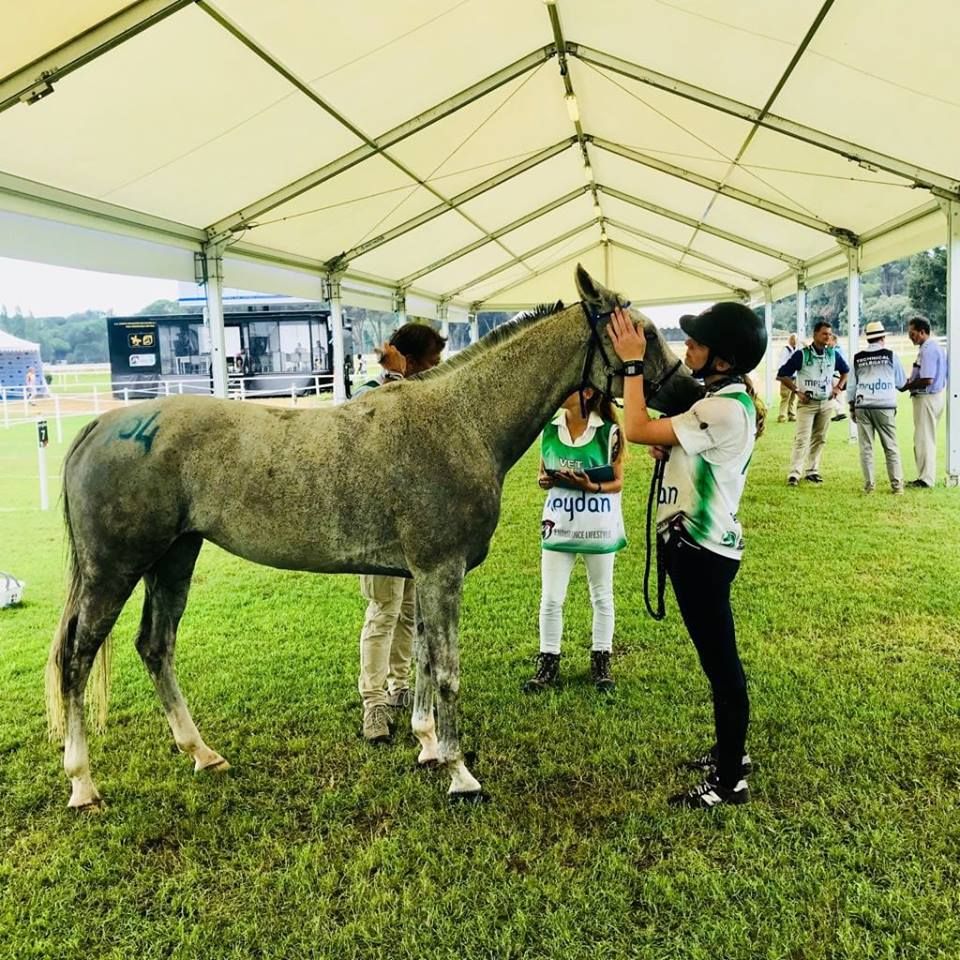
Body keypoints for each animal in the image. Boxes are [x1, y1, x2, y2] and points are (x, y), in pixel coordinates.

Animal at [45, 264, 700, 808]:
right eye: (640, 333)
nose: (689, 391)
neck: (462, 419)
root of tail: (101, 425)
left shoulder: (424, 576)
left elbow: (425, 662)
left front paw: (428, 745)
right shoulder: (441, 570)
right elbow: (447, 669)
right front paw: (461, 773)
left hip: (174, 558)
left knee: (156, 645)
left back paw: (201, 753)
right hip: (114, 569)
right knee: (77, 658)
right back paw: (81, 783)